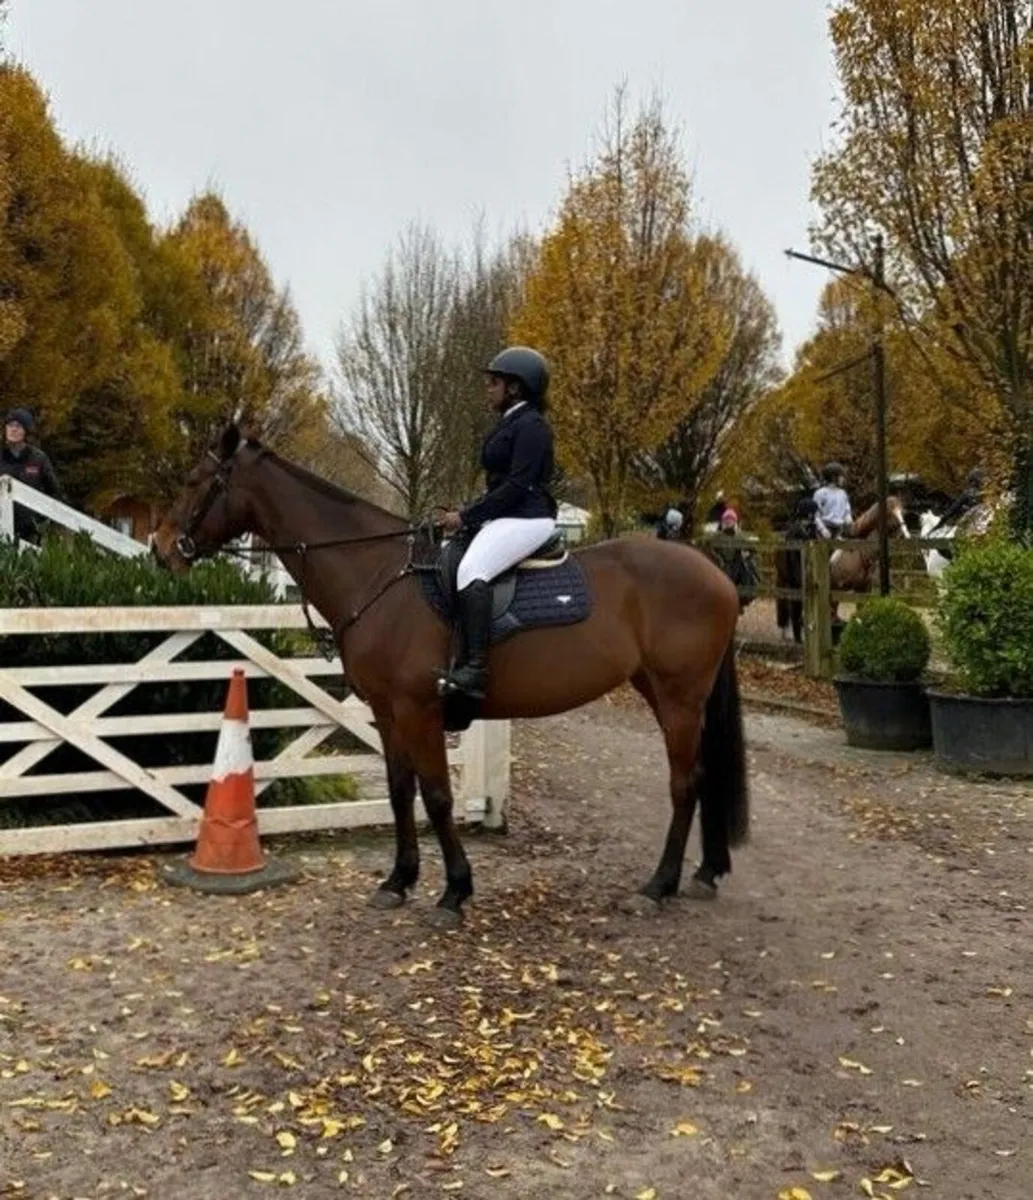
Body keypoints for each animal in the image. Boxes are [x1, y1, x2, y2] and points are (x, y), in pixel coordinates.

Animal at [152, 425, 750, 929]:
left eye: (195, 481)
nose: (161, 548)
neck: (379, 574)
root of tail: (713, 571)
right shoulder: (387, 710)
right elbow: (400, 791)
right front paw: (398, 880)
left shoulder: (419, 709)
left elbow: (437, 795)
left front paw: (454, 890)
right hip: (662, 692)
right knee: (703, 777)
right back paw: (703, 873)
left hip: (679, 698)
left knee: (685, 782)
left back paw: (659, 885)